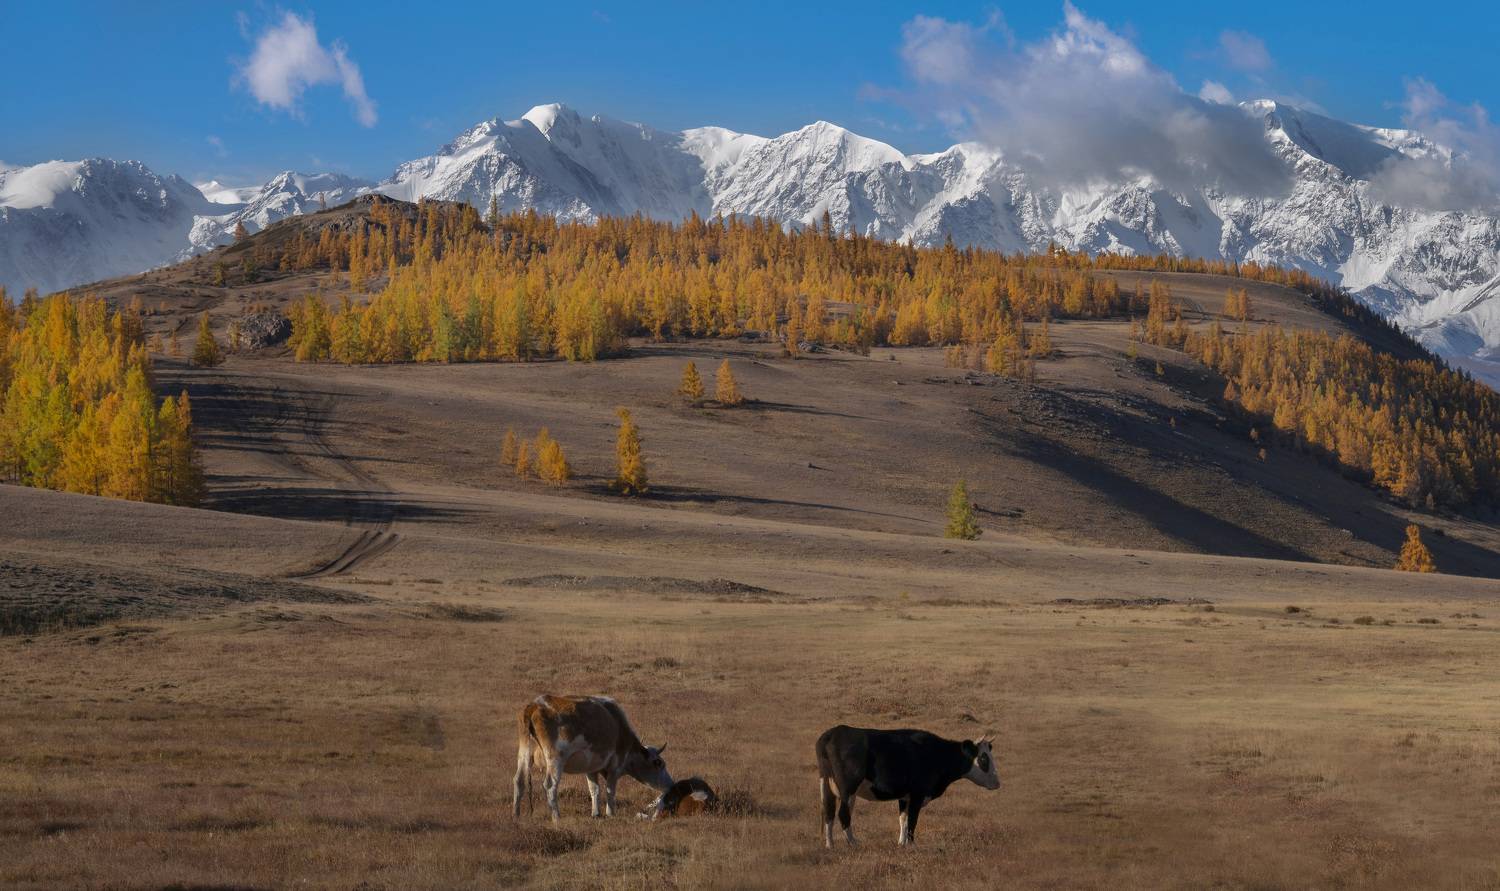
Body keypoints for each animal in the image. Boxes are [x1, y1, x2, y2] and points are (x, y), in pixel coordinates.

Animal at [512, 694, 673, 822]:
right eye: (659, 763)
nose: (671, 784)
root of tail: (535, 704)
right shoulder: (615, 766)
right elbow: (610, 790)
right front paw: (610, 813)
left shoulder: (591, 768)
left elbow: (594, 789)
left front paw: (596, 813)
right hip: (555, 759)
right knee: (551, 786)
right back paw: (556, 817)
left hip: (523, 754)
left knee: (519, 781)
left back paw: (516, 815)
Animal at [815, 724, 1000, 847]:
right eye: (983, 758)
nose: (997, 783)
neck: (936, 753)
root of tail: (833, 732)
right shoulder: (917, 794)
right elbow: (912, 820)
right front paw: (911, 845)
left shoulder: (905, 797)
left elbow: (902, 819)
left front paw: (901, 843)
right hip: (848, 788)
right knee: (843, 814)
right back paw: (853, 843)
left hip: (827, 784)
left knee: (829, 812)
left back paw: (830, 845)